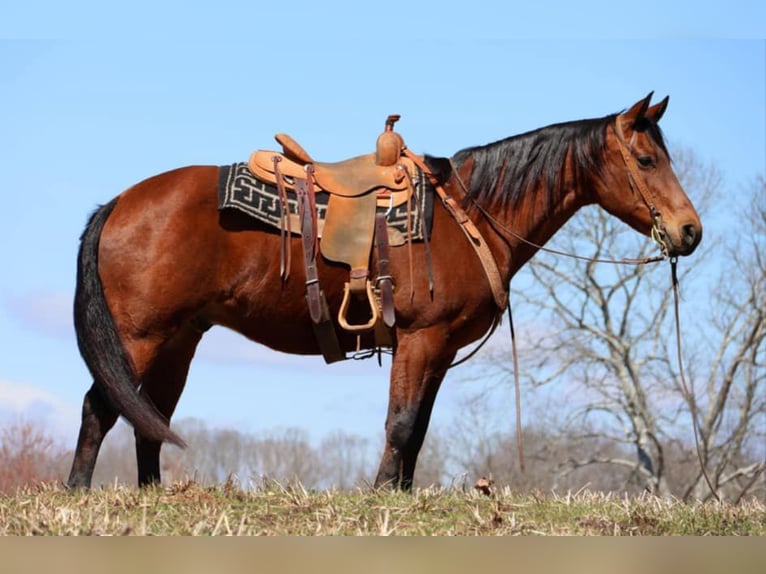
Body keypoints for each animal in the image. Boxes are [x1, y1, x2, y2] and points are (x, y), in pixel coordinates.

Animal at [67, 93, 702, 490]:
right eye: (646, 159)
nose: (690, 231)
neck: (470, 215)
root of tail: (119, 202)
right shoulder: (420, 339)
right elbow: (399, 424)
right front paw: (379, 496)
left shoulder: (438, 351)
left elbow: (416, 432)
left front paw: (400, 495)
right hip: (139, 336)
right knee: (101, 407)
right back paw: (77, 491)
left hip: (180, 339)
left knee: (150, 416)